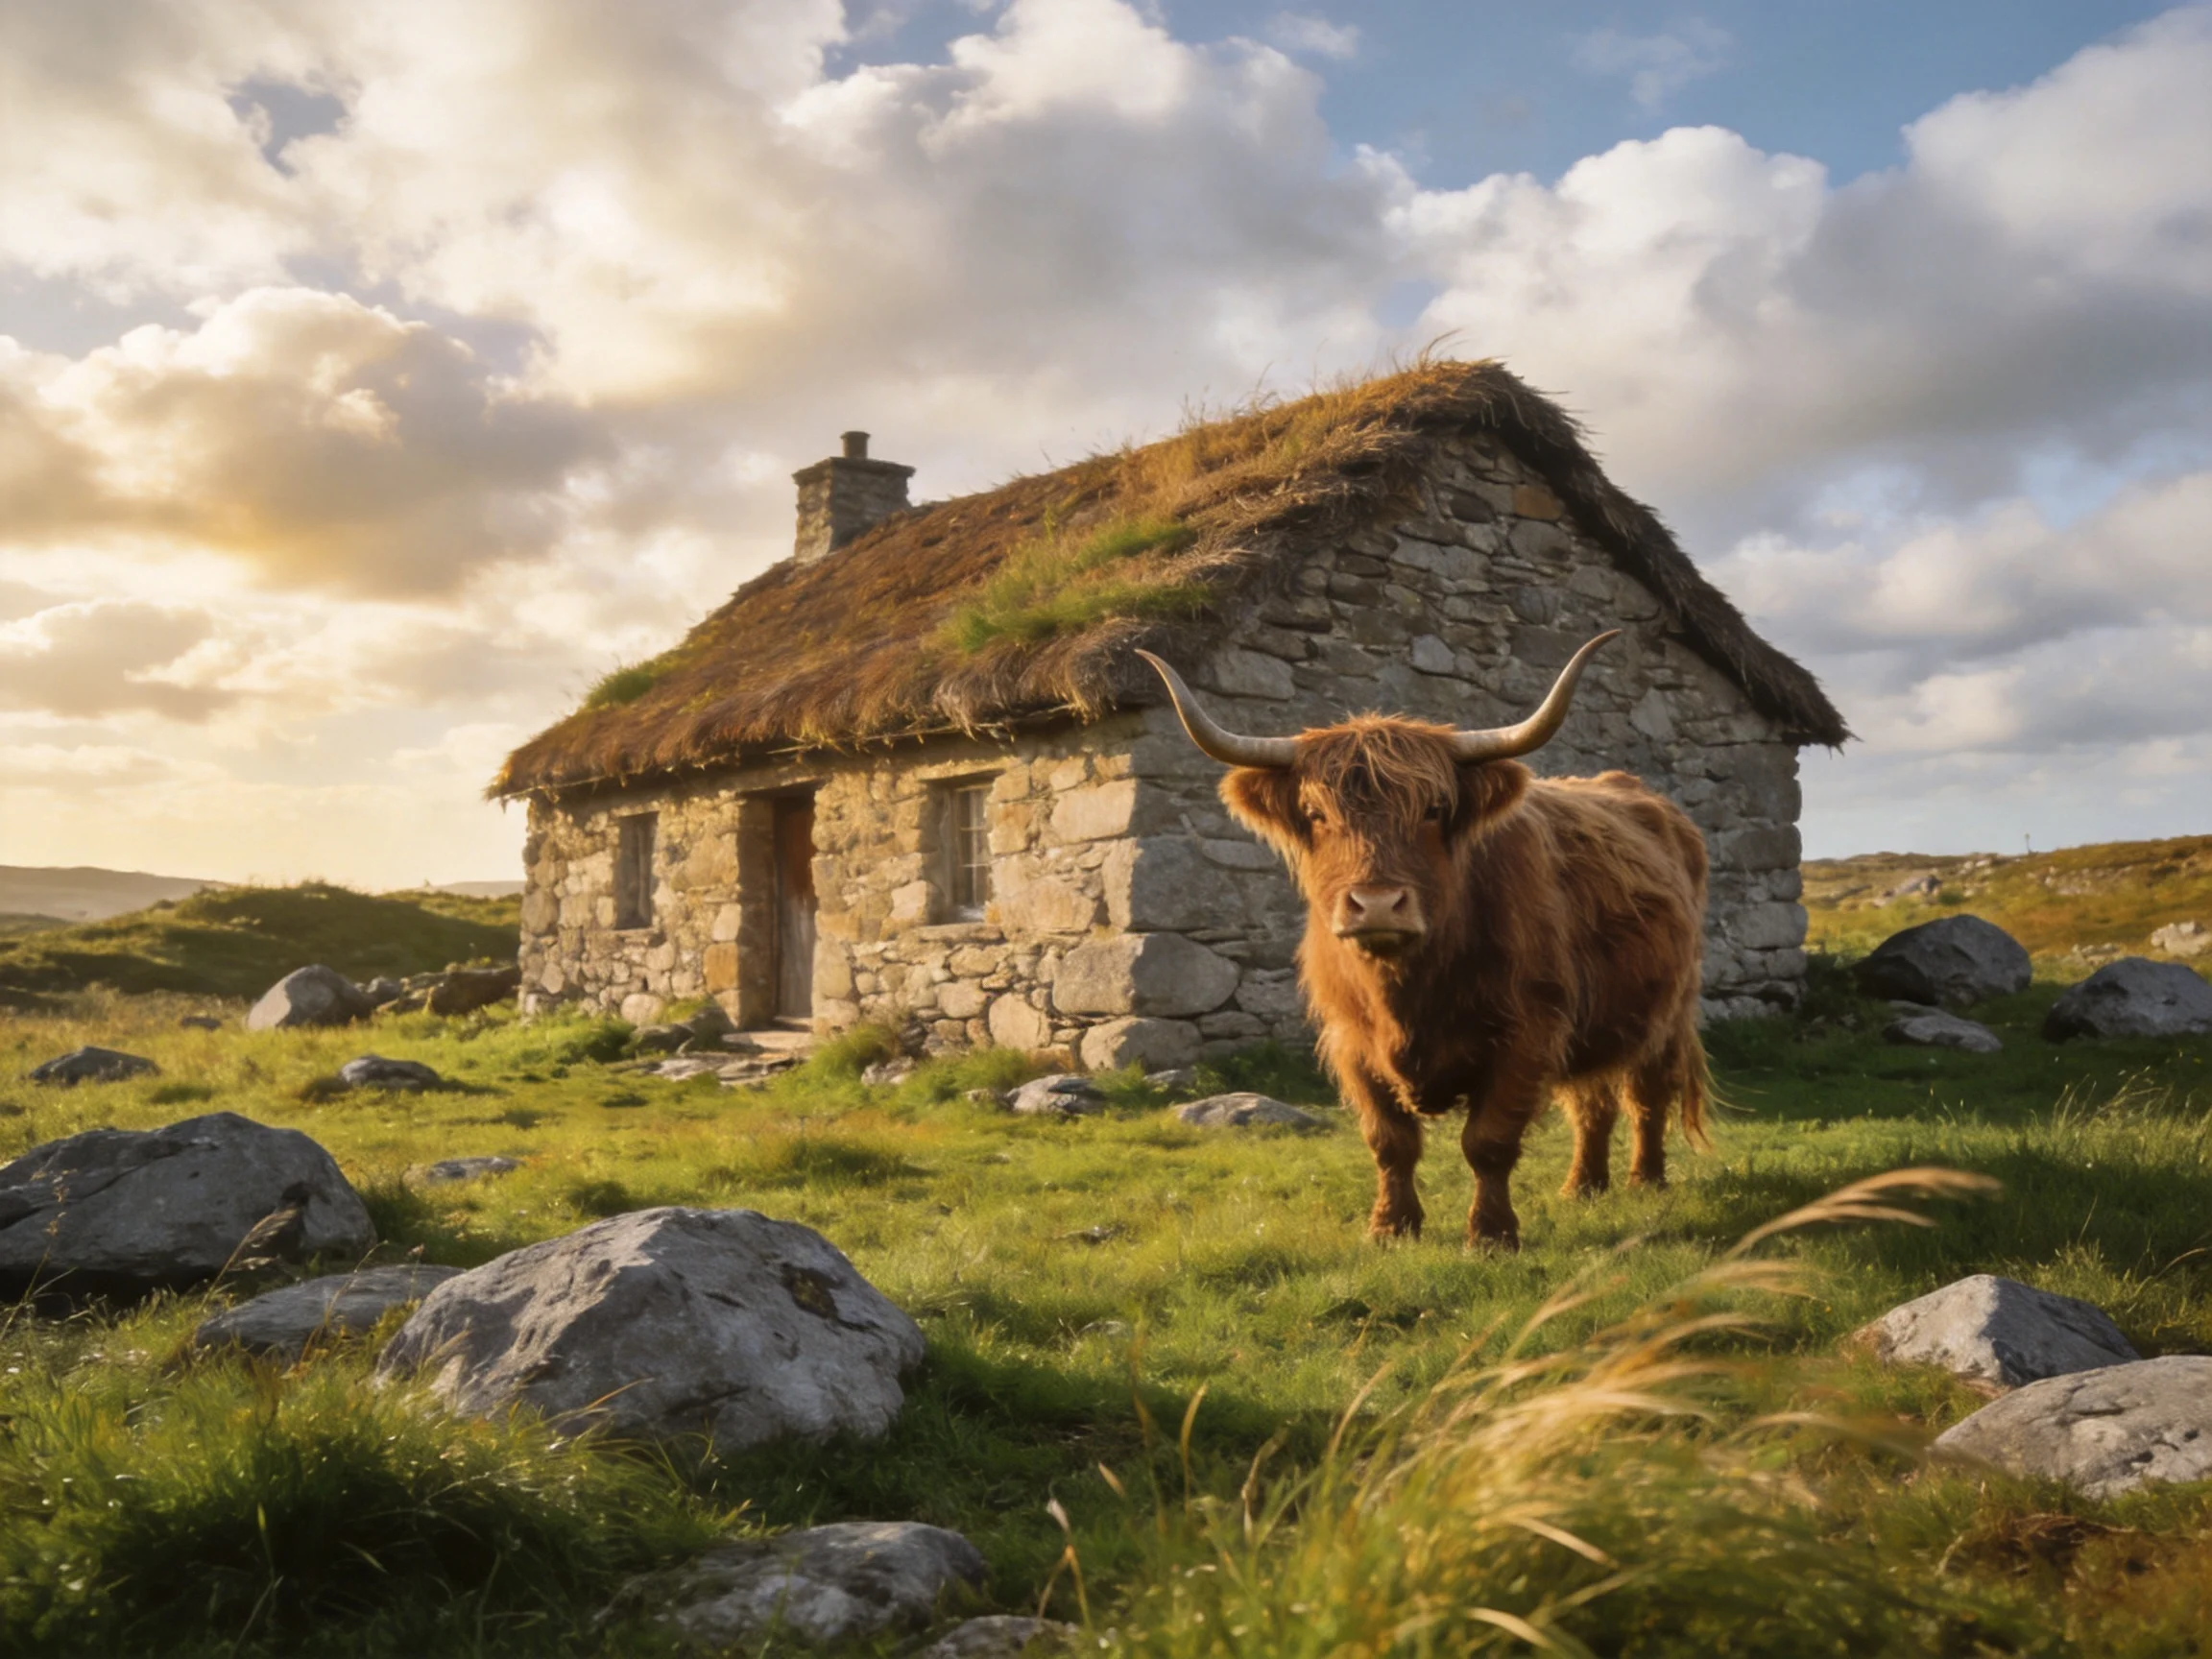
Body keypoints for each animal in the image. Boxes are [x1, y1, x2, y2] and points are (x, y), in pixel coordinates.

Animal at [1137, 632, 1709, 1249]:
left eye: (1434, 809)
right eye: (1315, 813)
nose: (1376, 904)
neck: (1406, 992)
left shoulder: (1528, 1033)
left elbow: (1488, 1142)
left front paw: (1490, 1235)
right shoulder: (1351, 1042)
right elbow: (1390, 1142)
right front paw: (1391, 1227)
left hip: (1668, 1013)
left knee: (1646, 1095)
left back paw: (1645, 1181)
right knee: (1591, 1102)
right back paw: (1582, 1186)